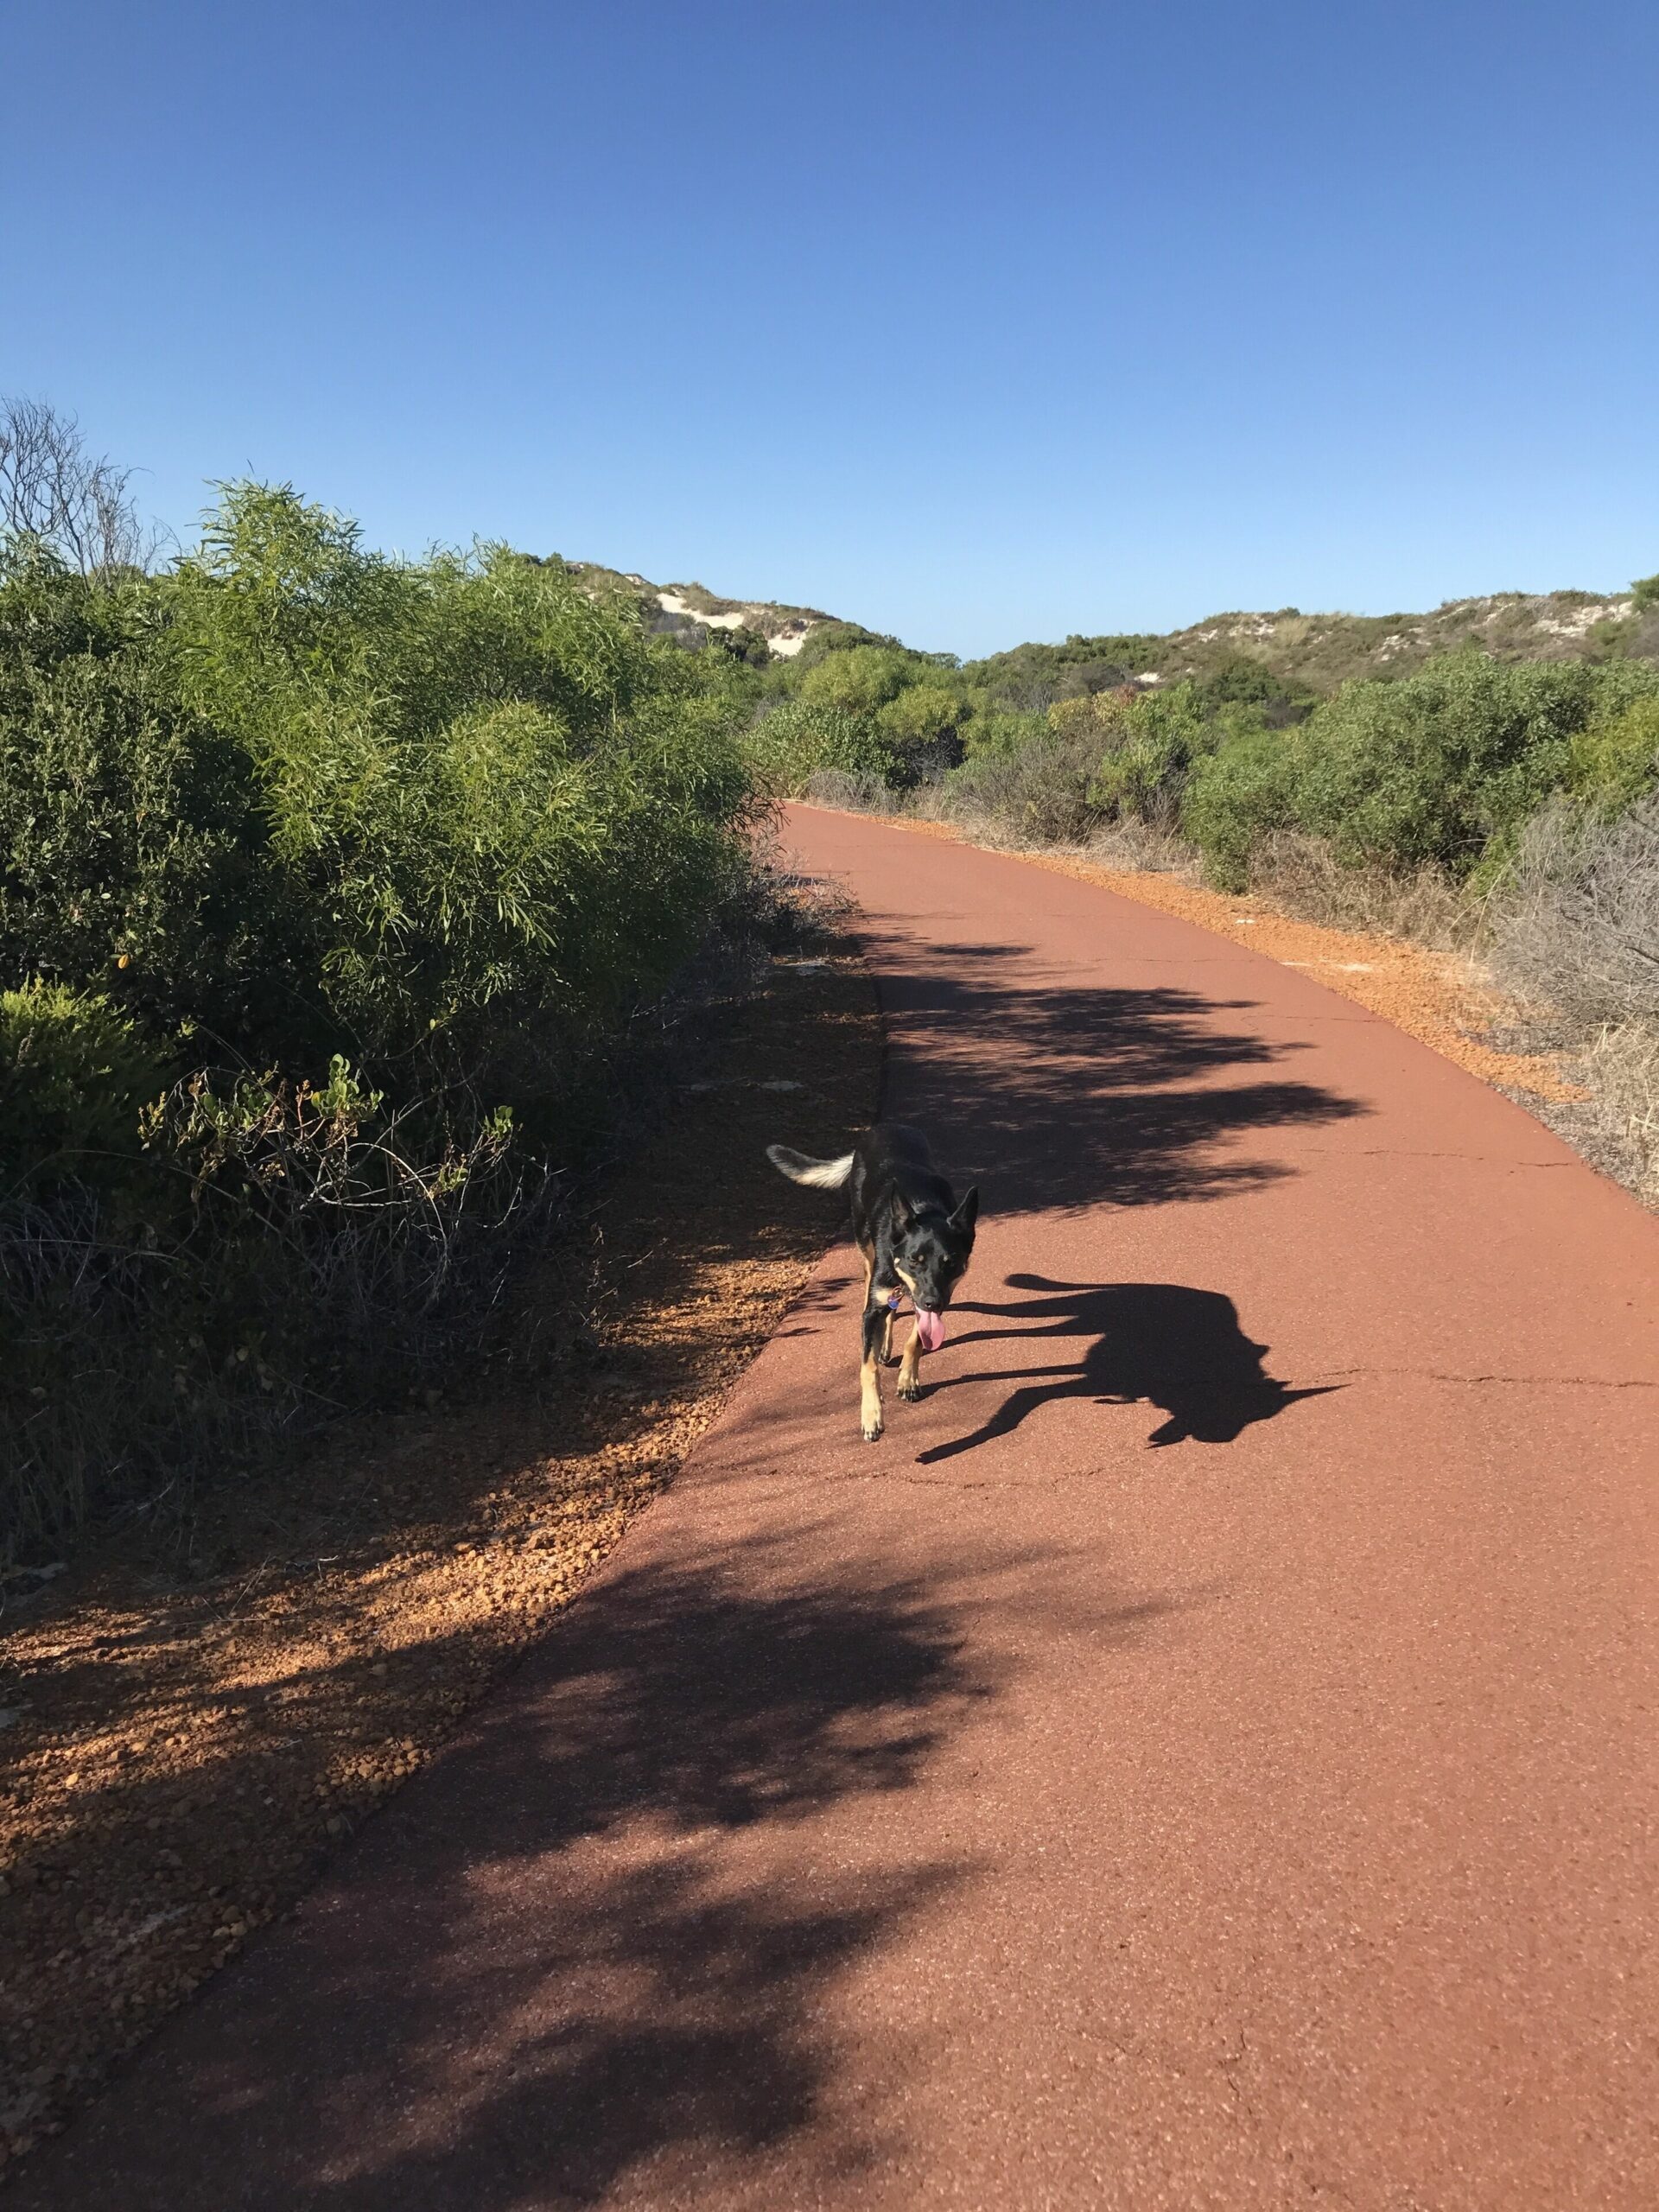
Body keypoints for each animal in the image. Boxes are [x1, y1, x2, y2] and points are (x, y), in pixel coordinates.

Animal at [769, 1123, 982, 1451]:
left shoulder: (936, 1298)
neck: (923, 1207)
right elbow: (867, 1367)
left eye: (951, 1262)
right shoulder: (878, 1306)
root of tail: (886, 1126)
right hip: (866, 1249)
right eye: (914, 1260)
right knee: (873, 1289)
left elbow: (916, 1339)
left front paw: (908, 1379)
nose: (933, 1302)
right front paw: (871, 1416)